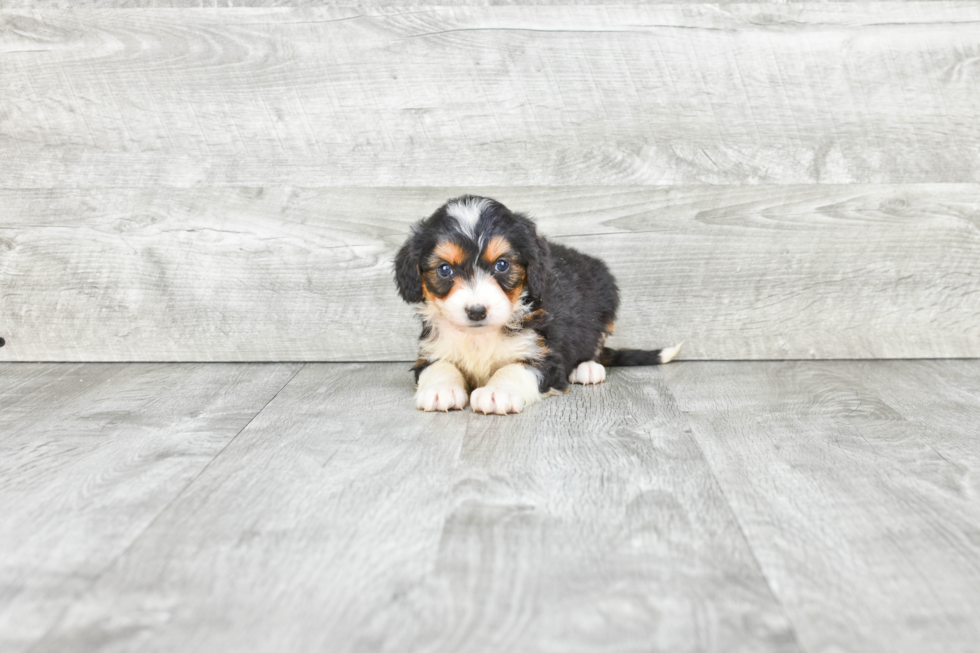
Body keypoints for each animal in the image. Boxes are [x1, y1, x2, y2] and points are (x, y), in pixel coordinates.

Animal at [392, 196, 680, 416]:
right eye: (444, 269)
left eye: (502, 265)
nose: (476, 311)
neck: (479, 337)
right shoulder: (430, 350)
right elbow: (439, 366)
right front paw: (441, 389)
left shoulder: (545, 356)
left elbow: (515, 369)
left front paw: (497, 392)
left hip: (605, 299)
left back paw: (587, 367)